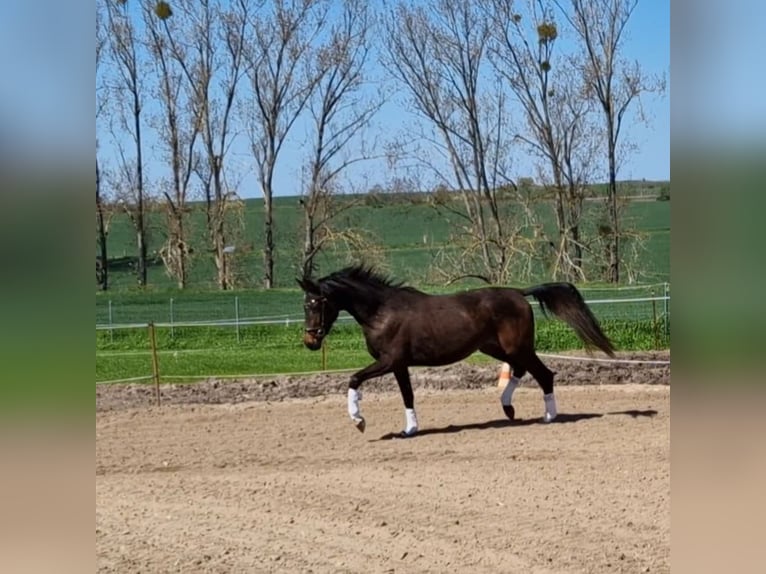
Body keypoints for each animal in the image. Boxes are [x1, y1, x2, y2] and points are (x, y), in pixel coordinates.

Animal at [296, 266, 616, 436]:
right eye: (304, 304)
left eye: (316, 303)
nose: (310, 341)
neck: (381, 312)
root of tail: (518, 293)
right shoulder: (399, 365)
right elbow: (406, 395)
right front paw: (409, 430)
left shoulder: (390, 361)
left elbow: (354, 379)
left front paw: (359, 421)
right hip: (496, 348)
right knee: (523, 370)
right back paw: (508, 408)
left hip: (518, 347)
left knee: (544, 374)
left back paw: (548, 416)